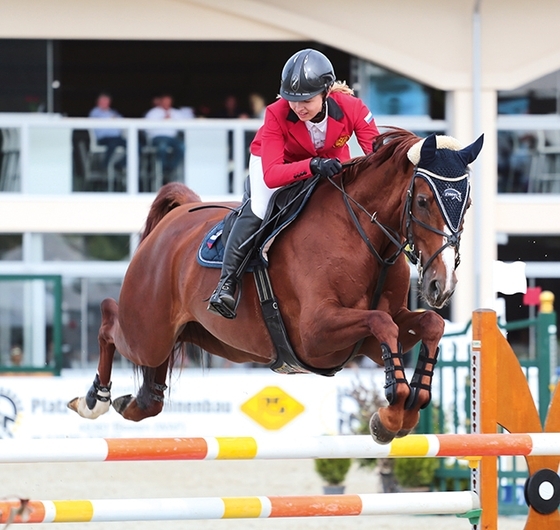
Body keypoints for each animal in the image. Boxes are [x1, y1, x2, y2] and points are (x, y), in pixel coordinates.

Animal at [68, 127, 484, 442]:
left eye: (466, 205)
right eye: (424, 201)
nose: (441, 285)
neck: (364, 237)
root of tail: (179, 214)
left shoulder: (361, 340)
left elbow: (429, 324)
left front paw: (406, 409)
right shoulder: (317, 333)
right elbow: (383, 324)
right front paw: (392, 412)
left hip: (206, 339)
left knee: (151, 391)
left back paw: (133, 402)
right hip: (147, 330)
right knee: (109, 320)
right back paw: (93, 400)